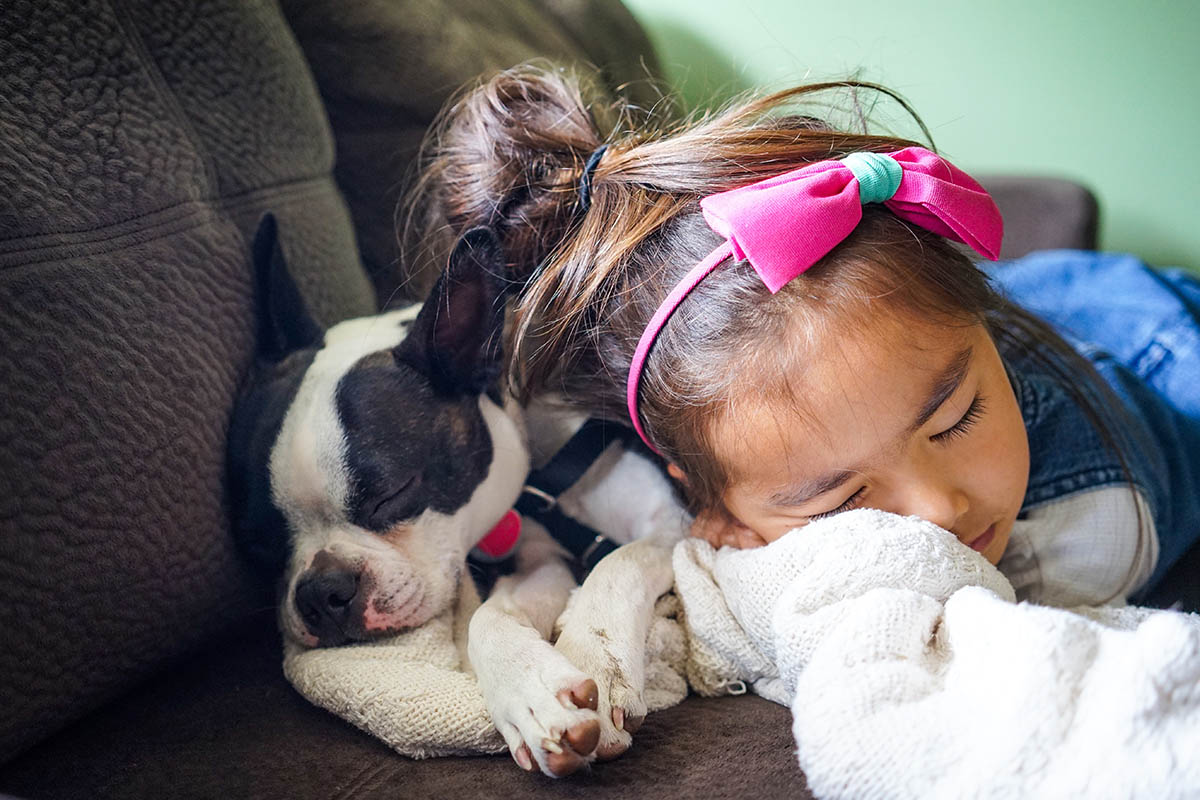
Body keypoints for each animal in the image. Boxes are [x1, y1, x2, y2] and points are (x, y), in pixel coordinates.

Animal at [229, 215, 691, 777]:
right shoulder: (538, 555)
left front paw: (595, 660)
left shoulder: (673, 520)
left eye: (391, 494)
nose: (321, 592)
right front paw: (531, 695)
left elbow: (618, 563)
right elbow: (489, 616)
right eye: (259, 544)